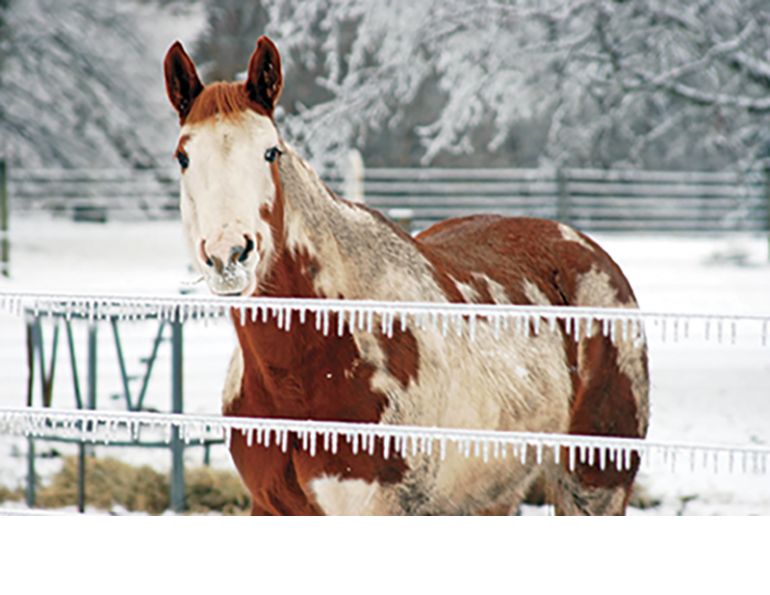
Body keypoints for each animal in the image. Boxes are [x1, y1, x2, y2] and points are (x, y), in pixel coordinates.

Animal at [163, 36, 649, 515]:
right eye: (183, 156)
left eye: (270, 152)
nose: (229, 255)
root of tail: (585, 248)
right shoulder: (268, 508)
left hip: (594, 488)